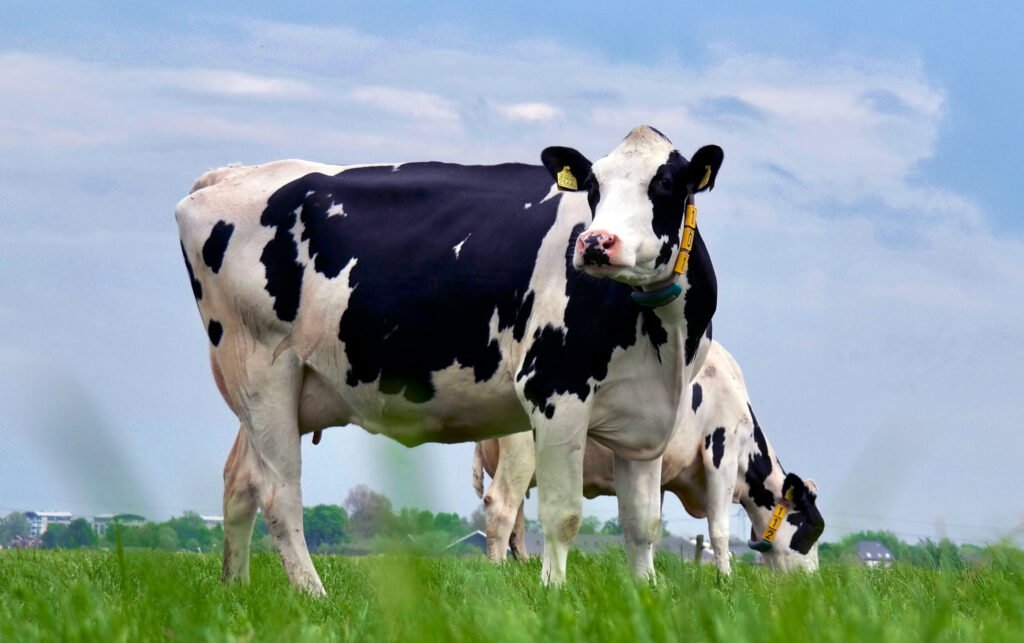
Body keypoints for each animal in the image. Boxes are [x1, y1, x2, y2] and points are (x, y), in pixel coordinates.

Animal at [175, 125, 723, 594]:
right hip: (261, 370)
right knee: (279, 492)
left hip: (269, 391)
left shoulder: (646, 416)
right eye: (593, 185)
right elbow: (563, 513)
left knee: (241, 482)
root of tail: (231, 175)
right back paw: (314, 594)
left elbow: (643, 524)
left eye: (665, 183)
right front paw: (554, 593)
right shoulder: (554, 388)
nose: (595, 243)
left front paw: (645, 593)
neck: (662, 337)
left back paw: (236, 586)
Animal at [473, 340, 824, 573]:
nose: (812, 581)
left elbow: (647, 524)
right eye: (811, 529)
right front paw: (726, 579)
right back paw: (498, 572)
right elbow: (719, 530)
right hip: (522, 452)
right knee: (502, 506)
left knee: (516, 520)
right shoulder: (721, 456)